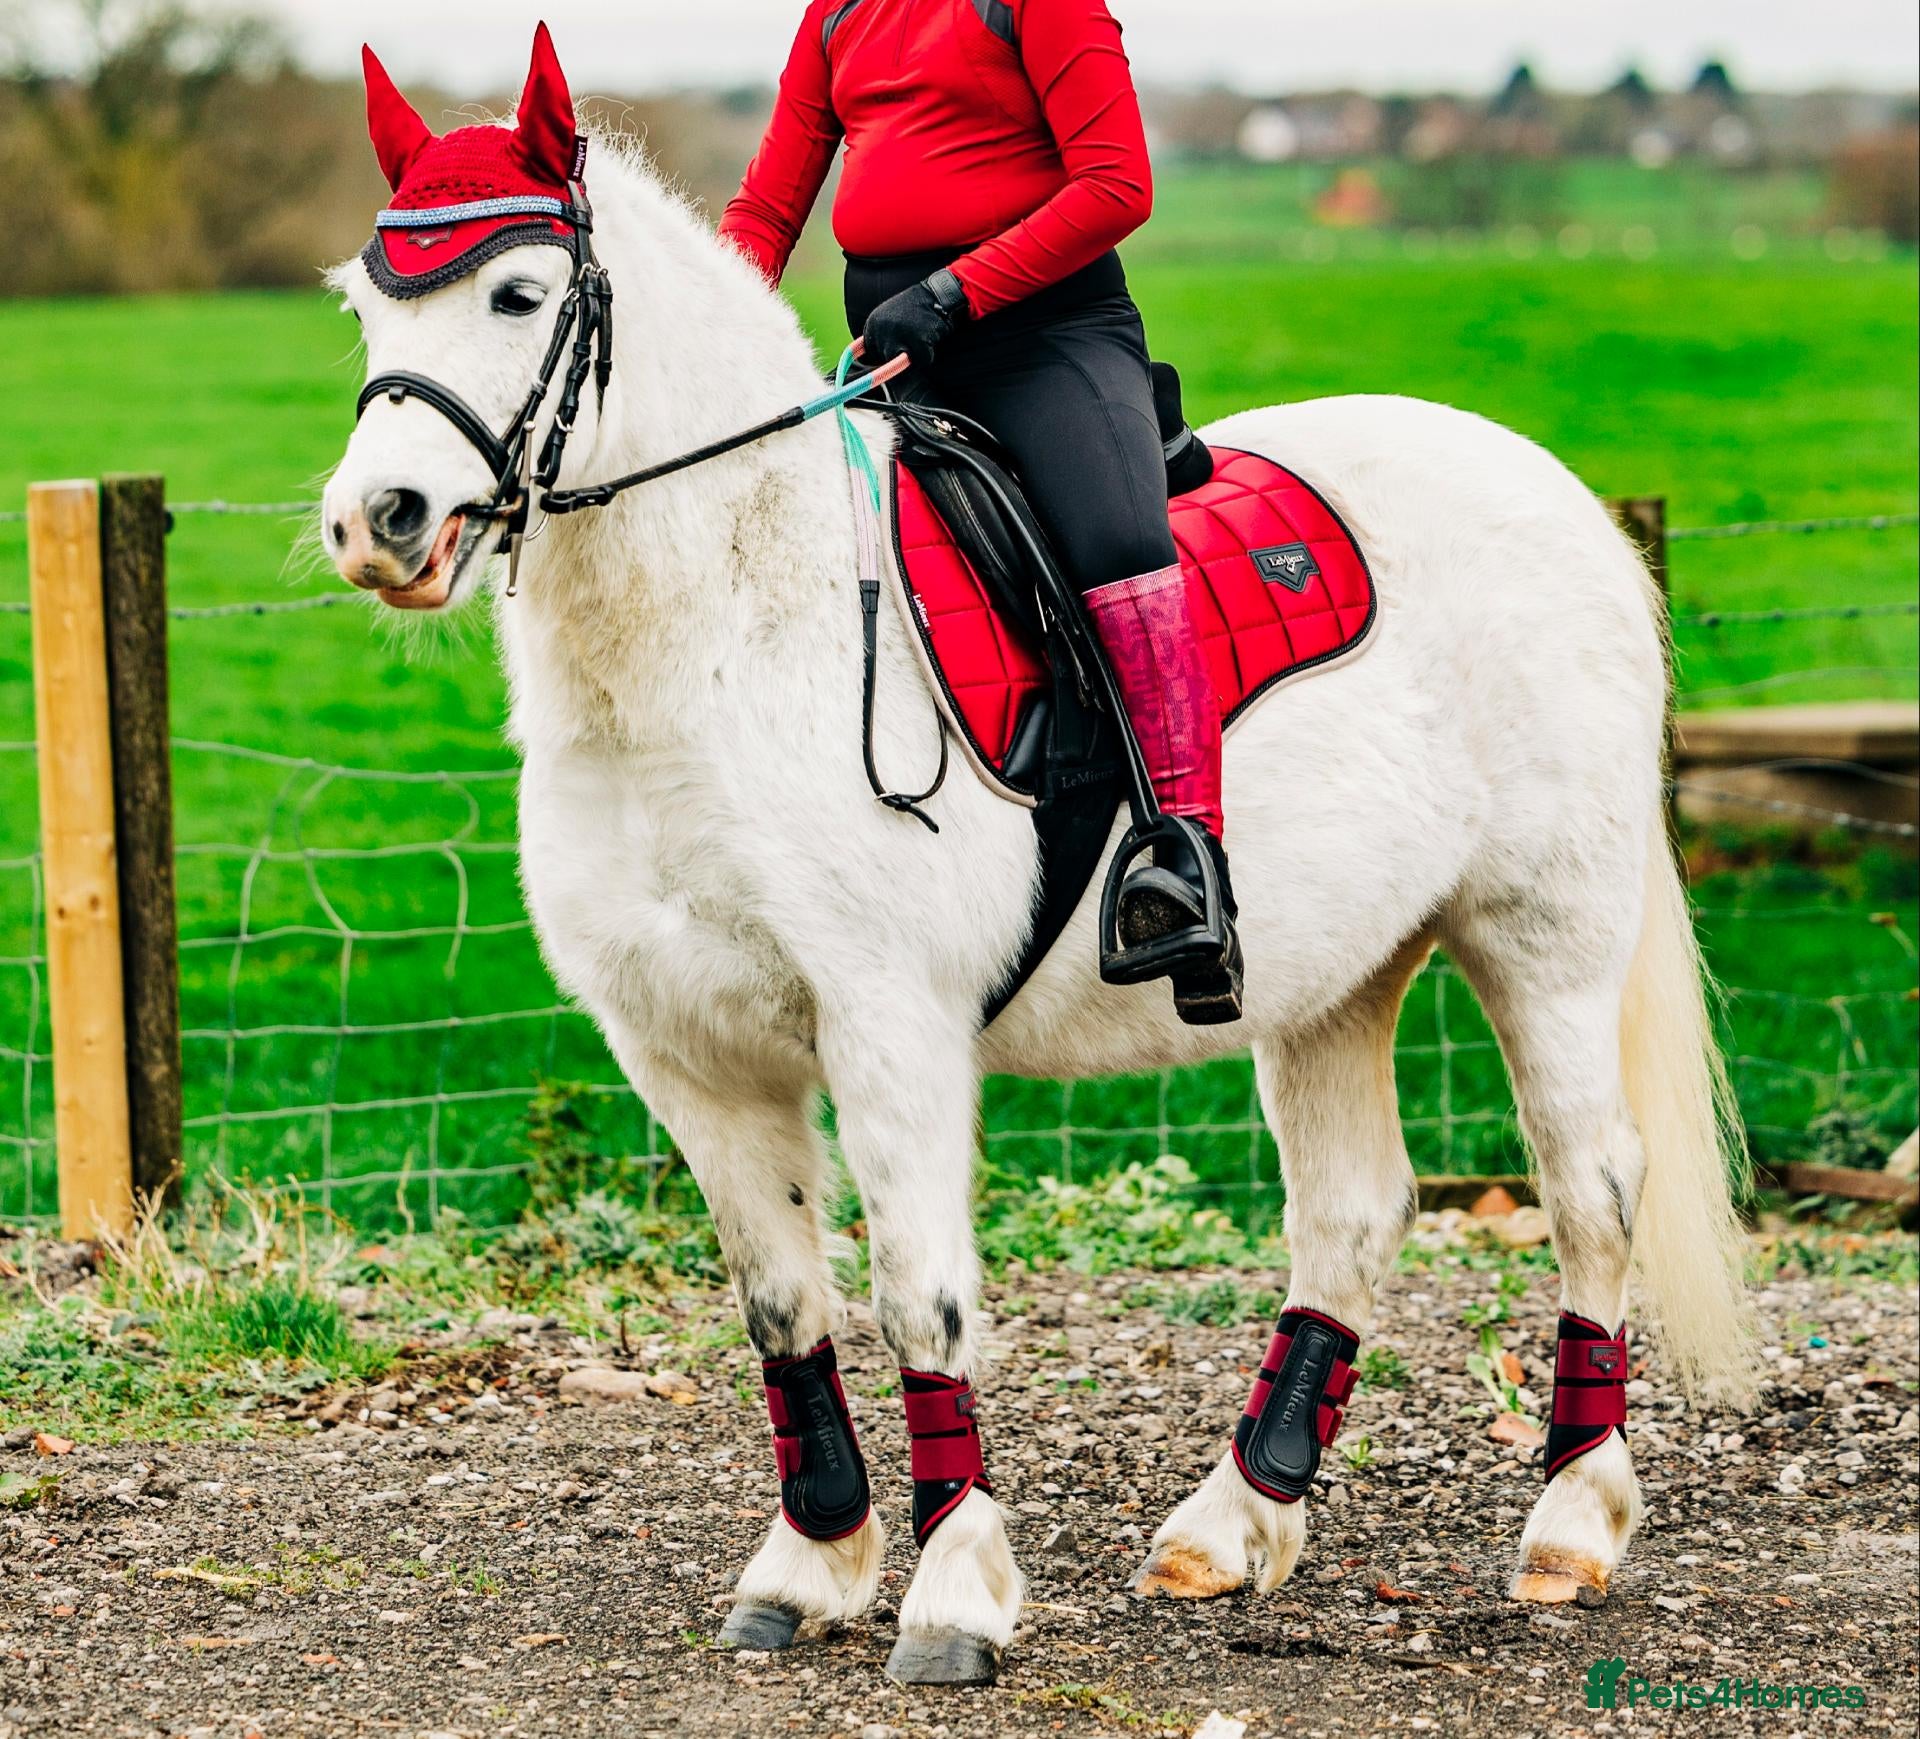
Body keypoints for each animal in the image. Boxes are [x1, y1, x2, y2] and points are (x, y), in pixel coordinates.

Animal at [320, 90, 1754, 1686]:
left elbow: (918, 1293)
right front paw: (811, 1560)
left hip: (1544, 938)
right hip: (1332, 974)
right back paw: (1235, 1520)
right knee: (1353, 1209)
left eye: (518, 294)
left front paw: (952, 1590)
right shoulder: (686, 1050)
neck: (725, 631)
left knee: (1592, 1186)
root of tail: (1560, 494)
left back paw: (1572, 1521)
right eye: (366, 305)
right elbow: (781, 1305)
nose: (378, 517)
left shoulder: (889, 1025)